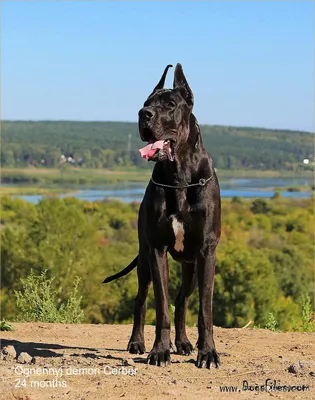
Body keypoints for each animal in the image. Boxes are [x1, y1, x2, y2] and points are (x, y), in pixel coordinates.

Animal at [104, 63, 222, 368]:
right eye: (146, 102)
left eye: (170, 105)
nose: (143, 114)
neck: (179, 177)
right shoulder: (157, 250)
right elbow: (160, 307)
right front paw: (159, 351)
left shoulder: (207, 251)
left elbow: (205, 310)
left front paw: (208, 352)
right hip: (144, 257)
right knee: (141, 299)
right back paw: (137, 342)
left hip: (191, 266)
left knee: (182, 301)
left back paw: (183, 343)